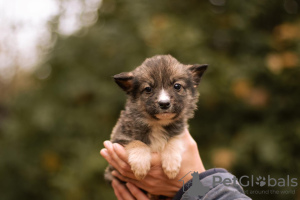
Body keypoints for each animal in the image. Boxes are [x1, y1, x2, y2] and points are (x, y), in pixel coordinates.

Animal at [105, 54, 206, 183]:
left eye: (177, 86)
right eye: (148, 89)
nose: (164, 103)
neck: (158, 124)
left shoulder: (180, 133)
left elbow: (174, 139)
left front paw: (171, 164)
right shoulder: (118, 138)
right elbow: (136, 142)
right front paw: (140, 165)